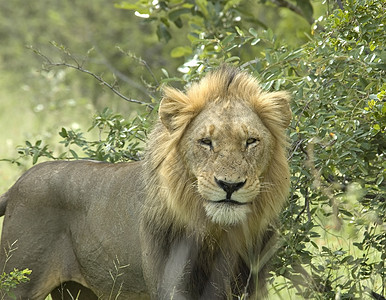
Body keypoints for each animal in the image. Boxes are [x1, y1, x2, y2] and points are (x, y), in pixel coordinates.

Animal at [0, 66, 290, 300]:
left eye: (251, 141)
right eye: (206, 142)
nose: (230, 185)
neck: (216, 231)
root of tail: (18, 184)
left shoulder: (247, 285)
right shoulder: (171, 285)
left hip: (78, 291)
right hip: (18, 282)